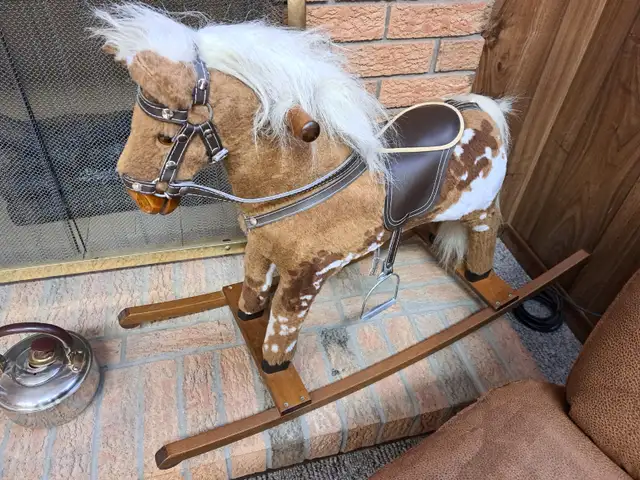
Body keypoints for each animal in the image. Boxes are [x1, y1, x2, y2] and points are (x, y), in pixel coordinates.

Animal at [91, 4, 511, 373]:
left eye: (166, 136)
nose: (139, 195)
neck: (302, 186)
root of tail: (481, 107)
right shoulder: (260, 249)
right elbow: (252, 288)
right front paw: (246, 313)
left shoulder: (306, 277)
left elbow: (281, 326)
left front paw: (274, 366)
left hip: (479, 208)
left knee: (489, 229)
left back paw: (481, 275)